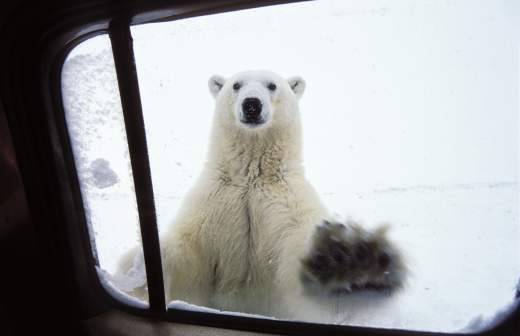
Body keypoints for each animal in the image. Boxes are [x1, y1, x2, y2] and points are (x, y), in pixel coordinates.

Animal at [118, 70, 406, 318]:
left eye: (272, 85)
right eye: (236, 85)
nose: (252, 104)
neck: (252, 177)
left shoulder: (284, 202)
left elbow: (295, 253)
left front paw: (350, 258)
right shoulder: (215, 201)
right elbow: (189, 256)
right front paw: (137, 268)